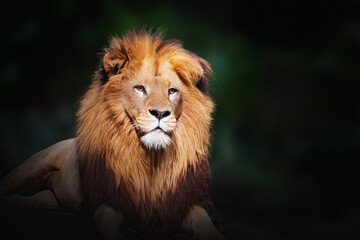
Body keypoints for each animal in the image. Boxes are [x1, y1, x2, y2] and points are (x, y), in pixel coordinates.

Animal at [0, 30, 225, 240]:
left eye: (172, 91)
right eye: (140, 88)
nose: (160, 113)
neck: (152, 159)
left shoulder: (181, 206)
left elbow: (204, 222)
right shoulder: (109, 202)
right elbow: (106, 223)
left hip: (51, 198)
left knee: (36, 200)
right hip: (32, 167)